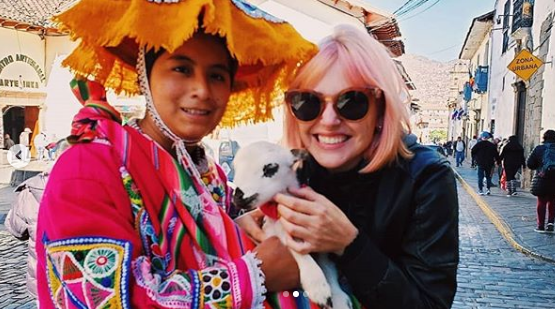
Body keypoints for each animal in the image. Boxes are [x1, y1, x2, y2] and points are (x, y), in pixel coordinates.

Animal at [232, 141, 354, 308]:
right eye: (235, 169)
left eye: (270, 168)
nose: (238, 197)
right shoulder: (273, 233)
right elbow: (296, 248)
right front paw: (317, 287)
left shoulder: (323, 246)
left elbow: (328, 267)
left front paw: (337, 298)